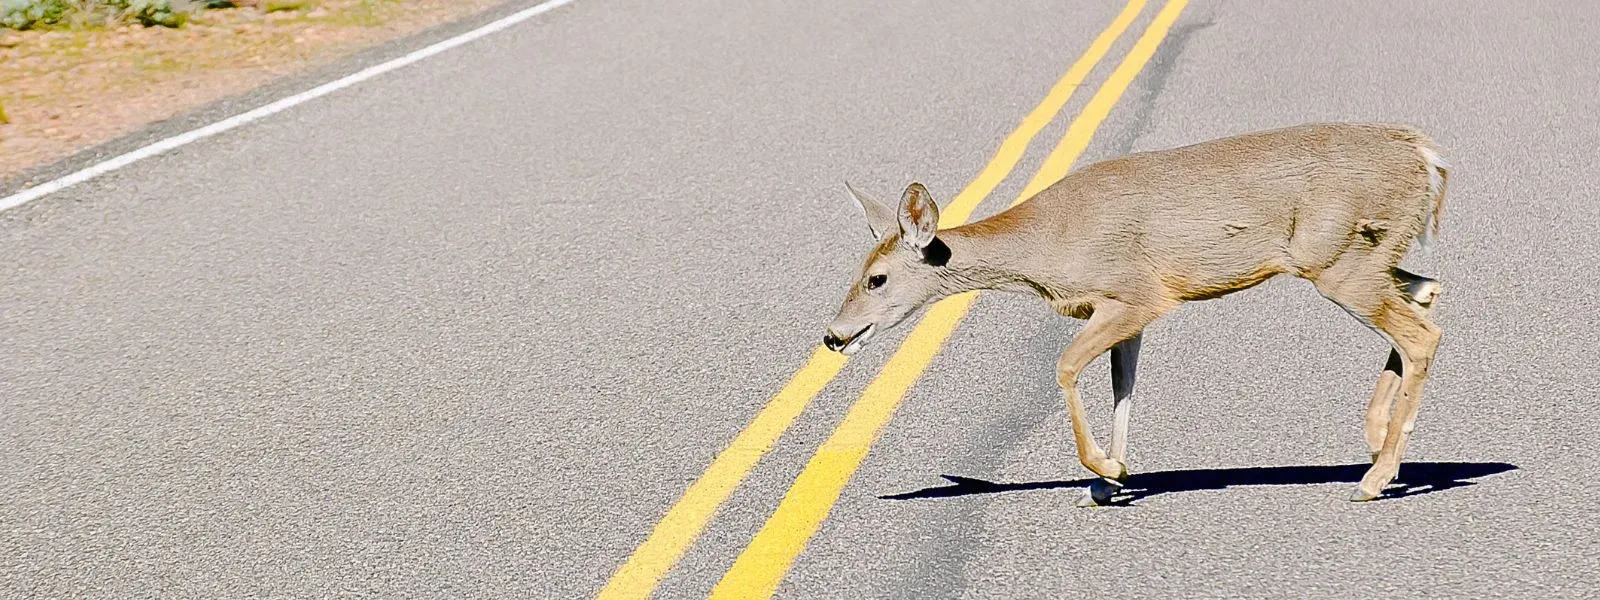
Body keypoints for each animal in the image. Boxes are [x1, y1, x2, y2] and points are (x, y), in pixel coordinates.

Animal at [825, 123, 1452, 508]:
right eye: (858, 269)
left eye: (877, 279)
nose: (833, 336)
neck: (1047, 244)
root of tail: (1428, 156)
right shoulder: (1129, 312)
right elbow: (1123, 385)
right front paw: (1112, 478)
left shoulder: (1136, 293)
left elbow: (1066, 366)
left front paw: (1101, 469)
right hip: (1367, 257)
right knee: (1428, 293)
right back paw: (1376, 440)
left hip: (1337, 260)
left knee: (1421, 332)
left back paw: (1374, 478)